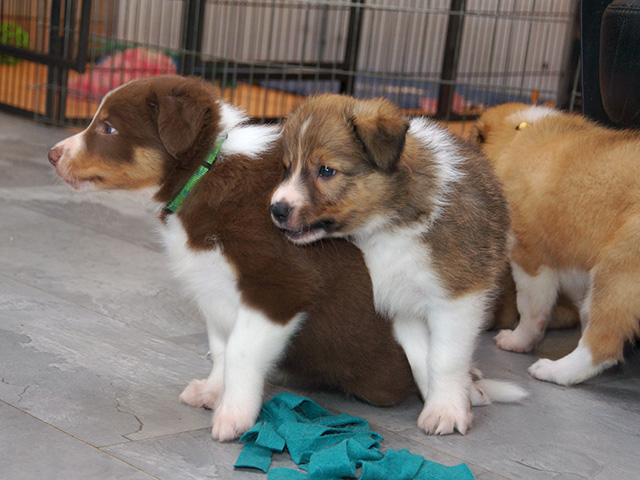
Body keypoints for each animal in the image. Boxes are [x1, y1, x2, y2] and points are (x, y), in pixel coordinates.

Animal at [47, 75, 420, 441]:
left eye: (108, 128)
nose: (51, 154)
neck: (206, 172)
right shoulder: (213, 285)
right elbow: (222, 347)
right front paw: (212, 392)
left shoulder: (279, 287)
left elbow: (240, 351)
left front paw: (233, 417)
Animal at [270, 94, 527, 435]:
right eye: (287, 167)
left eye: (325, 170)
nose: (276, 210)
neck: (389, 223)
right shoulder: (399, 300)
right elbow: (421, 356)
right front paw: (442, 397)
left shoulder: (457, 297)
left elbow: (445, 357)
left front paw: (446, 409)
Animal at [471, 103, 640, 385]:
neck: (516, 136)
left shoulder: (530, 257)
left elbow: (531, 309)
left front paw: (517, 341)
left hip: (617, 271)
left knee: (602, 344)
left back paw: (554, 370)